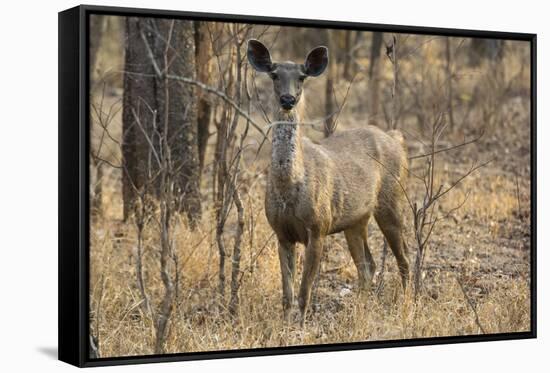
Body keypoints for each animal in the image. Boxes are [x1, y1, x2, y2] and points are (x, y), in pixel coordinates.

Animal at [249, 37, 410, 322]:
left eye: (302, 76)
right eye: (274, 74)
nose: (288, 99)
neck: (290, 189)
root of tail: (396, 138)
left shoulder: (318, 228)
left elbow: (304, 292)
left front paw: (301, 326)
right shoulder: (281, 232)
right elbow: (287, 295)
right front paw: (284, 325)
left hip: (392, 201)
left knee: (405, 260)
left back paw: (408, 304)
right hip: (356, 220)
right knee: (367, 266)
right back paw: (360, 311)